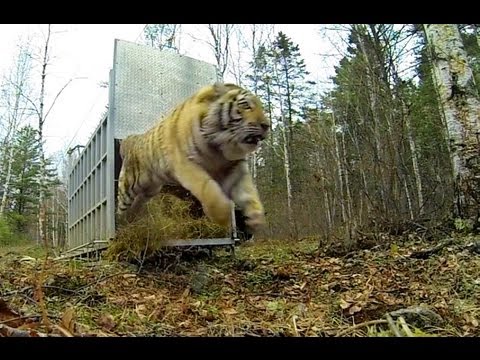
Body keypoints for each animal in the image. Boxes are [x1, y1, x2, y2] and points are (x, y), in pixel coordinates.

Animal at [116, 82, 270, 233]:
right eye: (246, 105)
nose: (267, 125)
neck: (221, 146)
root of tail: (132, 139)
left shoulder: (235, 167)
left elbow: (248, 192)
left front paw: (256, 218)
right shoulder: (186, 163)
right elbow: (208, 189)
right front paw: (223, 216)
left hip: (151, 190)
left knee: (138, 202)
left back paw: (130, 220)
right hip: (129, 186)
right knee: (121, 206)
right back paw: (120, 226)